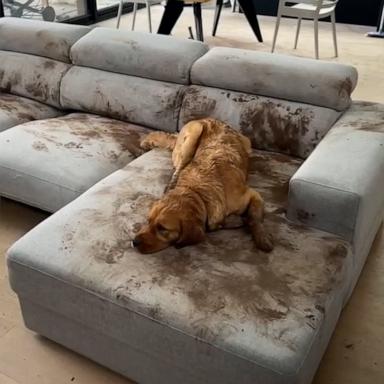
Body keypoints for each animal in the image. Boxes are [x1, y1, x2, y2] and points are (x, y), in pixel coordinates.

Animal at [132, 118, 272, 254]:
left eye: (162, 229)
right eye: (148, 220)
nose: (134, 242)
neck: (198, 192)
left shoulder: (252, 195)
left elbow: (254, 218)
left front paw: (261, 238)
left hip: (247, 144)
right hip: (194, 133)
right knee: (179, 167)